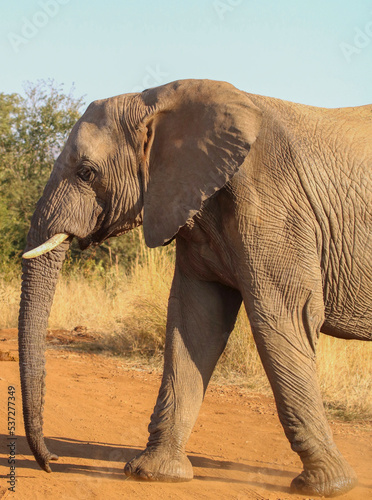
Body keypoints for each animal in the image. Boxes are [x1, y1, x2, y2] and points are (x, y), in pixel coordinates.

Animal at [18, 78, 370, 496]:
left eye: (86, 173)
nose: (50, 463)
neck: (157, 101)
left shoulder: (275, 204)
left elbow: (283, 318)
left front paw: (328, 486)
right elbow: (195, 321)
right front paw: (154, 473)